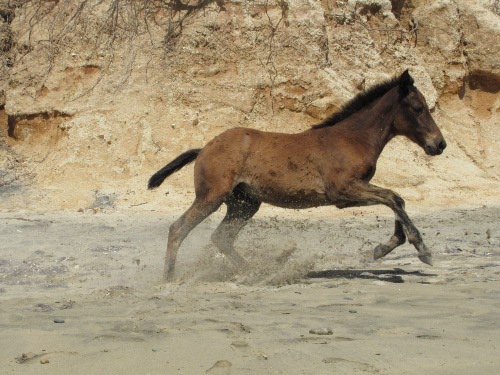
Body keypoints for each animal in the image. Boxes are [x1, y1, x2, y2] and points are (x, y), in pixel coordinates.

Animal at [149, 70, 450, 282]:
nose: (440, 144)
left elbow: (396, 200)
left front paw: (383, 248)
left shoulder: (349, 194)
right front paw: (422, 249)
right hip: (212, 196)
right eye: (418, 108)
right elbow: (392, 198)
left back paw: (257, 273)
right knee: (178, 229)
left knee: (222, 237)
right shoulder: (344, 189)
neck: (352, 139)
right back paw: (169, 279)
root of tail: (204, 147)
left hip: (244, 204)